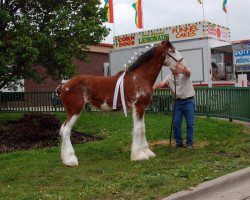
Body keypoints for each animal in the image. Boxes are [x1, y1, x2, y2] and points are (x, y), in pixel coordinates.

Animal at [58, 38, 184, 166]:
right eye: (172, 51)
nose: (183, 66)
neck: (140, 77)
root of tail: (64, 86)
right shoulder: (138, 106)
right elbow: (138, 129)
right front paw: (139, 155)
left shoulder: (142, 107)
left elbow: (143, 128)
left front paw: (147, 152)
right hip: (75, 111)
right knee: (66, 130)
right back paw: (71, 159)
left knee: (63, 129)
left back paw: (65, 158)